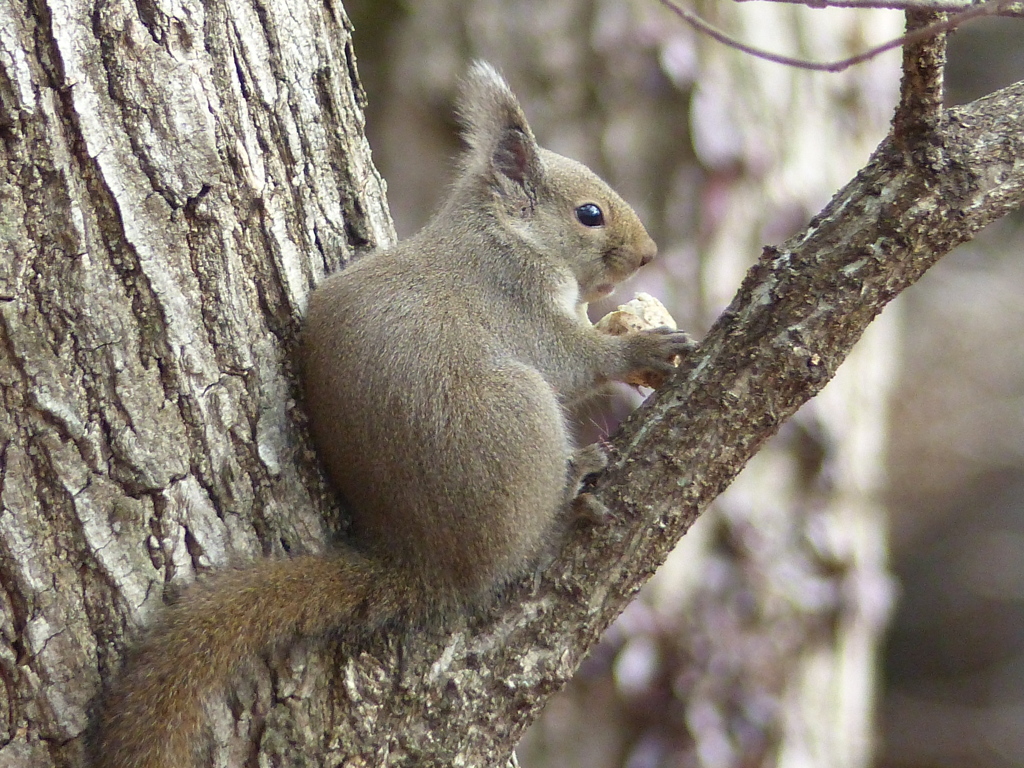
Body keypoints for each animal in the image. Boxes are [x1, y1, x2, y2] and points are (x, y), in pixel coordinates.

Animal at [94, 64, 696, 768]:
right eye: (590, 214)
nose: (648, 253)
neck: (504, 234)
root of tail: (424, 563)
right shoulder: (517, 300)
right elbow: (573, 362)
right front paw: (640, 351)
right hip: (520, 417)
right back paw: (572, 490)